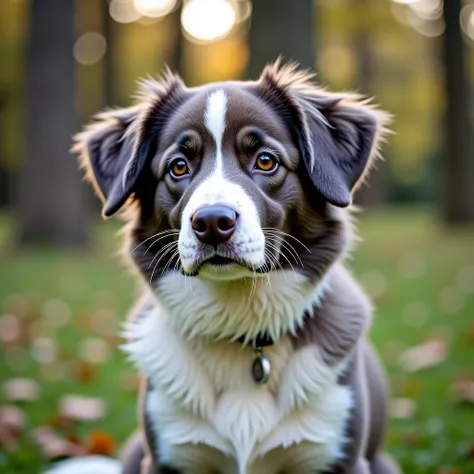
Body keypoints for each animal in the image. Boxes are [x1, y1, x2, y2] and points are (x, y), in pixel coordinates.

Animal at [72, 61, 402, 474]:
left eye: (265, 160)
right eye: (178, 166)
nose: (212, 222)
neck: (241, 322)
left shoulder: (342, 460)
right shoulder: (165, 458)